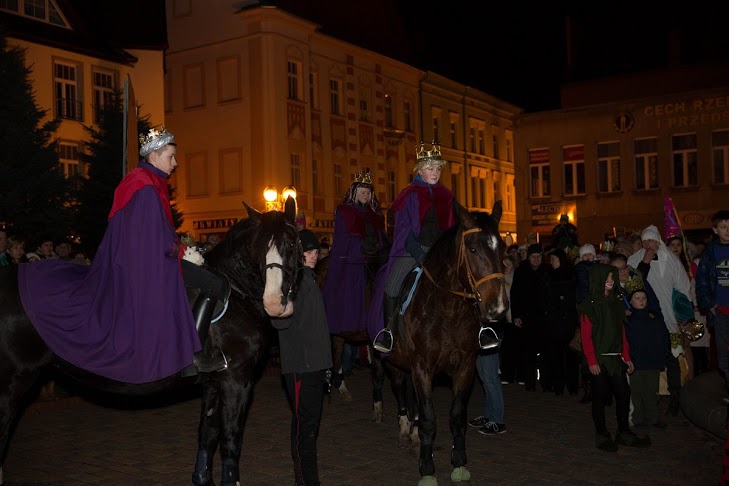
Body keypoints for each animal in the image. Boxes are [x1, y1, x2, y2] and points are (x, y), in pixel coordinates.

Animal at [0, 198, 302, 486]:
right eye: (258, 247)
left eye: (290, 244)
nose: (274, 303)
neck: (235, 293)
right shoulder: (236, 379)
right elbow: (231, 439)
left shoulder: (215, 381)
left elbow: (208, 434)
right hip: (12, 385)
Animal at [382, 199, 506, 484]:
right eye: (472, 248)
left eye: (502, 248)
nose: (497, 306)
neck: (448, 310)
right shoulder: (422, 367)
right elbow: (429, 418)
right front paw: (427, 469)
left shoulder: (465, 368)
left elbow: (457, 416)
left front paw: (459, 464)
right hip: (393, 362)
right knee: (400, 390)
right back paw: (405, 428)